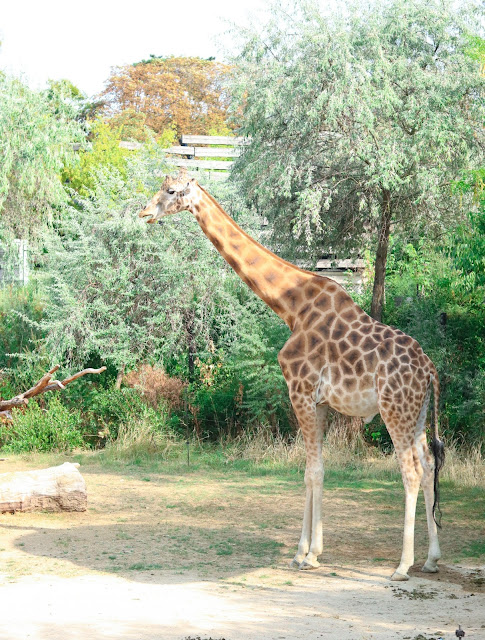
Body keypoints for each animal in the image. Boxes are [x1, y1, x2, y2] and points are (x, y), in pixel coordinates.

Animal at [138, 169, 444, 580]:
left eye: (171, 191)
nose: (144, 212)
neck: (290, 306)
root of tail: (430, 371)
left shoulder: (299, 391)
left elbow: (311, 472)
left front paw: (305, 555)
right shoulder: (321, 402)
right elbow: (315, 471)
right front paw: (310, 552)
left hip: (395, 410)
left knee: (410, 471)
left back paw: (402, 565)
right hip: (418, 413)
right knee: (427, 466)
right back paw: (431, 558)